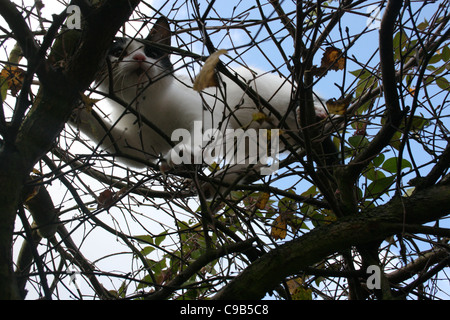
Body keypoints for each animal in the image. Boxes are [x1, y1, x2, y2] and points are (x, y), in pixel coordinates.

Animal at [72, 16, 328, 198]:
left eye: (152, 52)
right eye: (118, 53)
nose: (139, 59)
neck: (147, 104)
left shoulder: (205, 108)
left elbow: (202, 130)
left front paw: (183, 152)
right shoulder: (136, 142)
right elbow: (122, 147)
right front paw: (76, 110)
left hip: (271, 93)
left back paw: (315, 114)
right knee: (248, 160)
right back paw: (217, 183)